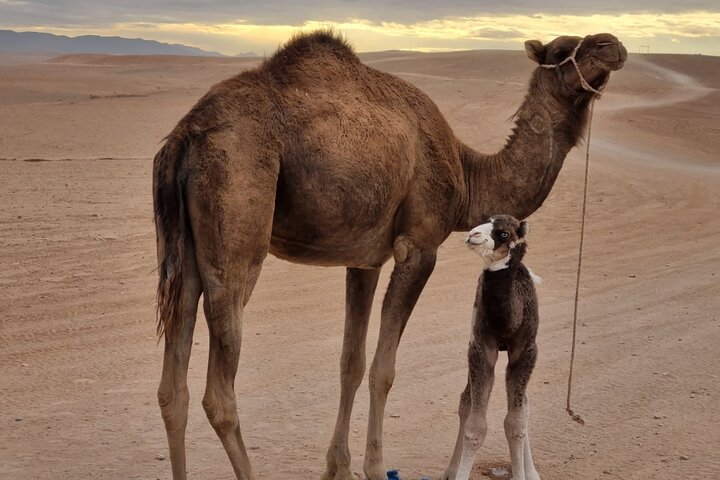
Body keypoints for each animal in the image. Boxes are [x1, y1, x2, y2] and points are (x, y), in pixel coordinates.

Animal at [444, 215, 540, 480]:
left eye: (503, 233)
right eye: (485, 220)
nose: (472, 234)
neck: (510, 317)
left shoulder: (526, 351)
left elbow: (516, 423)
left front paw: (522, 475)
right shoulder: (480, 348)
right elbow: (475, 426)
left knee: (523, 405)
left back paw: (532, 472)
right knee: (466, 401)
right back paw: (451, 470)